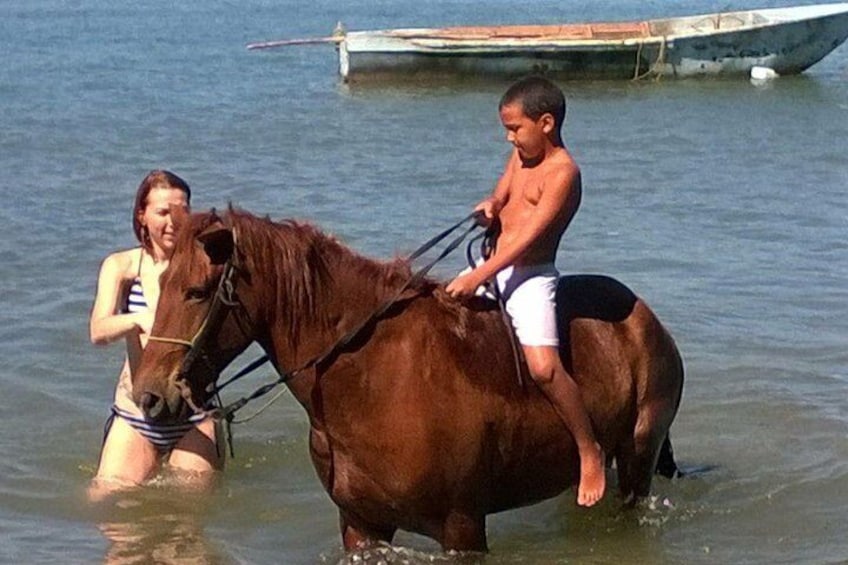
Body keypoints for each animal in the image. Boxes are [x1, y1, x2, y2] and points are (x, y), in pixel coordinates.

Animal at [136, 206, 684, 552]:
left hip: (637, 459)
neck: (373, 379)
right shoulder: (361, 525)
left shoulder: (463, 528)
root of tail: (645, 317)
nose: (149, 395)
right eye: (161, 283)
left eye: (197, 291)